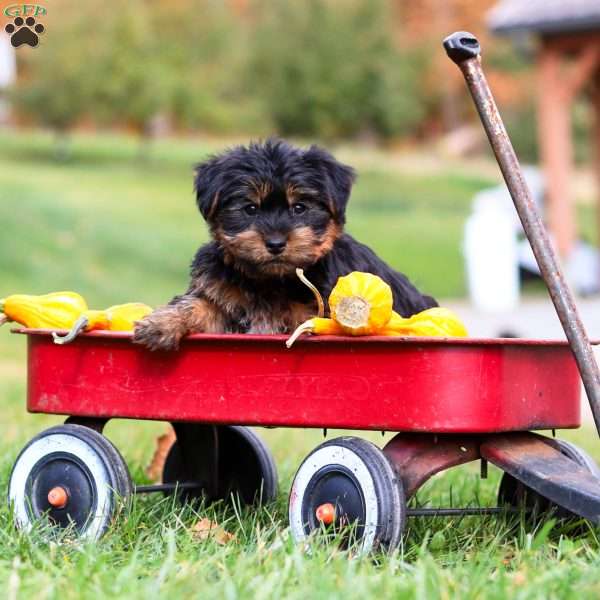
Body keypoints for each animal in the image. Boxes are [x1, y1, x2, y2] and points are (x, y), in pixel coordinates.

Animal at [134, 138, 438, 350]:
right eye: (250, 209)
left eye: (299, 208)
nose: (276, 242)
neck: (270, 279)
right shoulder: (220, 295)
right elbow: (196, 304)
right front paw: (161, 324)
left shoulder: (312, 314)